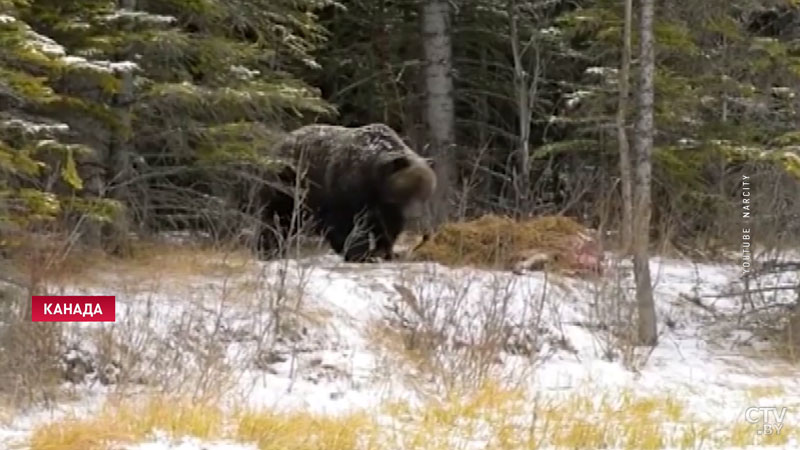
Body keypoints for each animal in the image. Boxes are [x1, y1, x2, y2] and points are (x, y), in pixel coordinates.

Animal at [253, 123, 434, 264]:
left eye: (426, 193)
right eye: (409, 191)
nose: (422, 230)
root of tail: (278, 144)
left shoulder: (386, 207)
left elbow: (387, 229)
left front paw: (384, 252)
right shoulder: (347, 190)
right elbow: (347, 224)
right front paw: (361, 254)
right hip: (287, 185)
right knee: (275, 219)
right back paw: (270, 251)